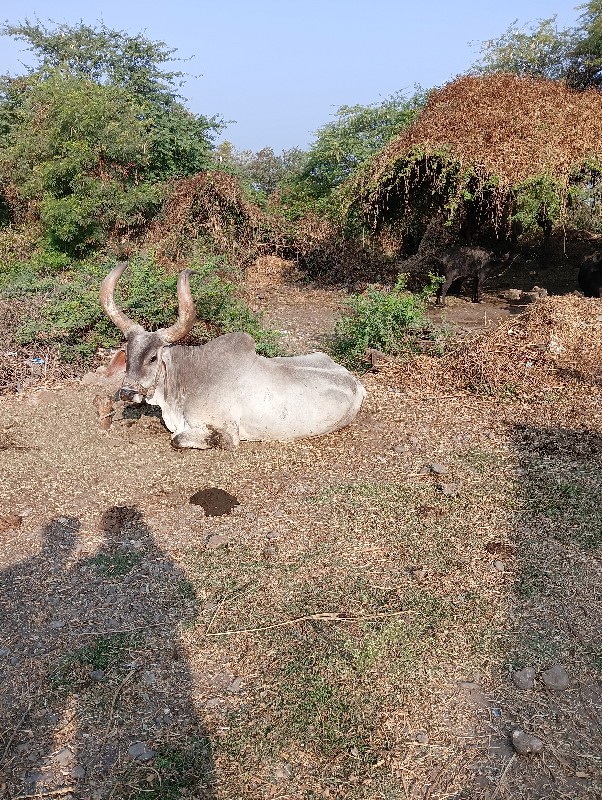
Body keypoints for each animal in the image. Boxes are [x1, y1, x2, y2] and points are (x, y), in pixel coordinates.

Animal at [99, 264, 366, 446]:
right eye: (127, 355)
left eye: (153, 358)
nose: (127, 392)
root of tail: (356, 383)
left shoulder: (225, 431)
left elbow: (178, 438)